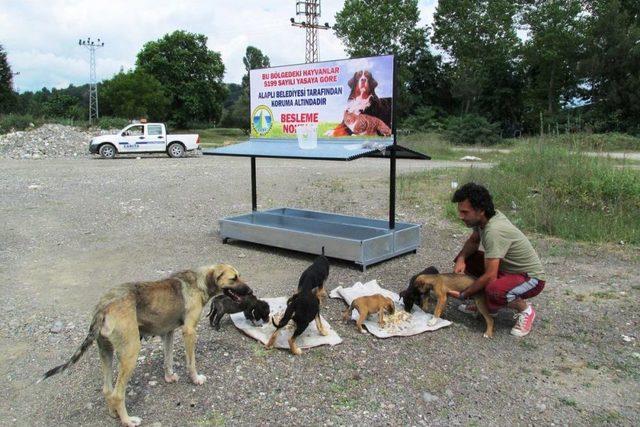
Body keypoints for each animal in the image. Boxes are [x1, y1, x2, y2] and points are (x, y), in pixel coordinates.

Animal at [39, 266, 250, 426]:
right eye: (233, 278)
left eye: (239, 275)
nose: (250, 291)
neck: (198, 281)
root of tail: (104, 306)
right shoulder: (189, 332)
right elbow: (191, 363)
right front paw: (196, 379)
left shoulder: (168, 333)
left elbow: (168, 359)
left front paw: (169, 377)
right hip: (130, 353)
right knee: (118, 394)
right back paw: (128, 420)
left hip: (105, 350)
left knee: (107, 390)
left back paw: (113, 413)